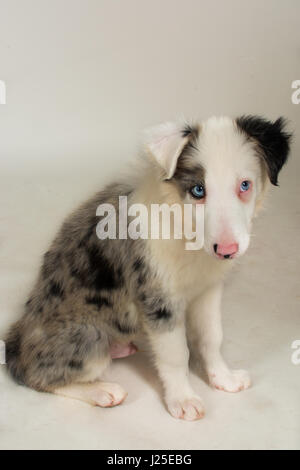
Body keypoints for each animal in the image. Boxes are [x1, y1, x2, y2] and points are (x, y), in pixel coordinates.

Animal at [4, 115, 290, 420]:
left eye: (245, 185)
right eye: (198, 190)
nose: (227, 251)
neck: (185, 234)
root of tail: (16, 338)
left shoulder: (208, 290)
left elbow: (212, 337)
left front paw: (223, 378)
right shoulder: (158, 300)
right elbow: (176, 354)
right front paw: (183, 399)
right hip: (88, 336)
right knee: (36, 375)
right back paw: (101, 390)